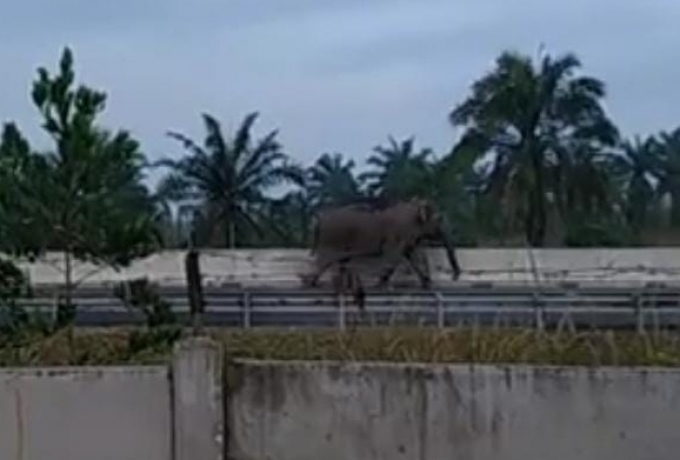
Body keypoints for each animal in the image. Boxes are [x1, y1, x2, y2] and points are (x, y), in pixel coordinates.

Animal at [304, 197, 460, 290]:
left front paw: (427, 283)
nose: (455, 276)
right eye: (440, 219)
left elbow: (413, 257)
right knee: (324, 261)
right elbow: (394, 256)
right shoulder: (397, 237)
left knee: (339, 262)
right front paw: (380, 284)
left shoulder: (408, 238)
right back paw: (309, 283)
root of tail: (319, 218)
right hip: (331, 240)